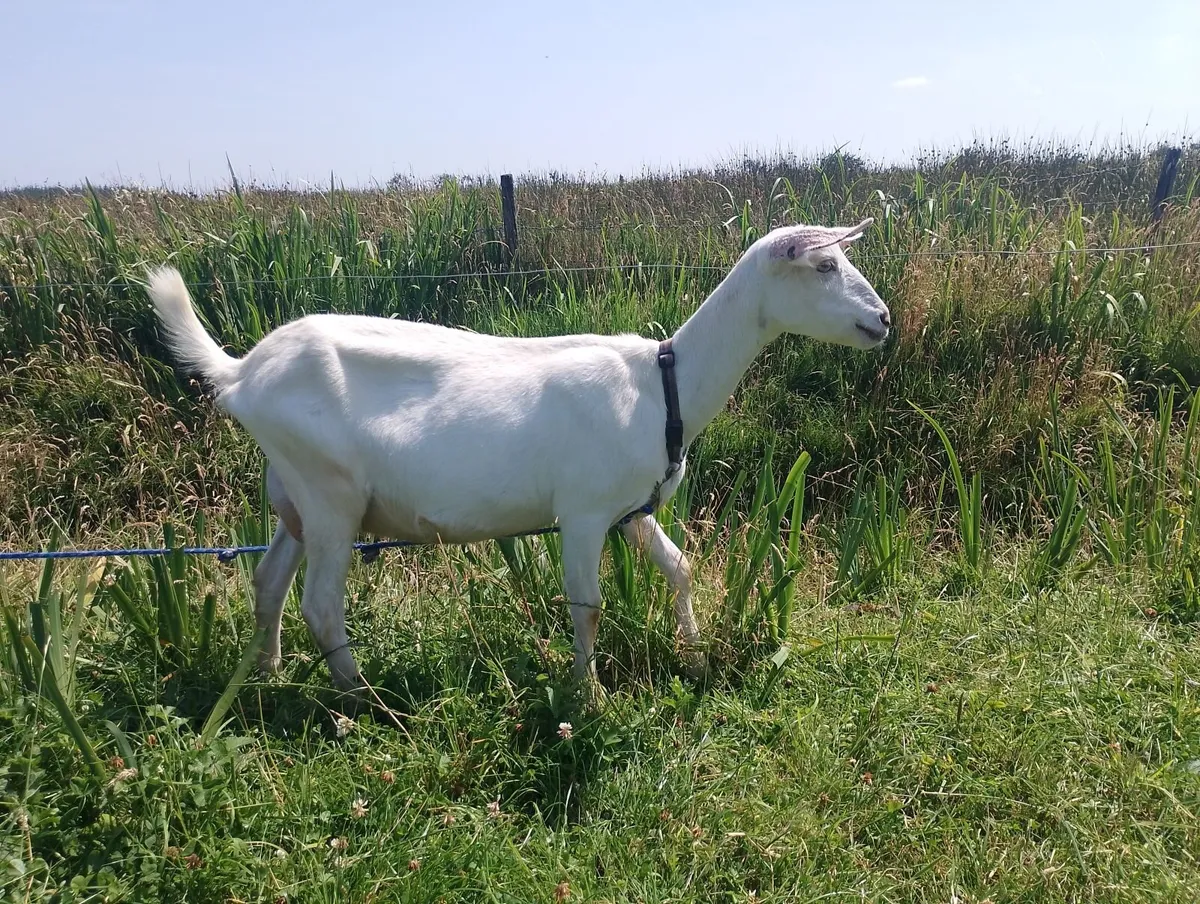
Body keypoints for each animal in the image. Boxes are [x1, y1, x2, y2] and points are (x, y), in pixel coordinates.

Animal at [145, 218, 890, 701]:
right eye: (825, 266)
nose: (883, 319)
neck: (665, 385)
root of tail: (241, 371)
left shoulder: (631, 509)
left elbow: (679, 568)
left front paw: (695, 655)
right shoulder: (584, 511)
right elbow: (586, 606)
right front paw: (589, 698)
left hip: (295, 494)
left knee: (269, 579)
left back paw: (268, 672)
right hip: (332, 496)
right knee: (322, 604)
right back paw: (363, 706)